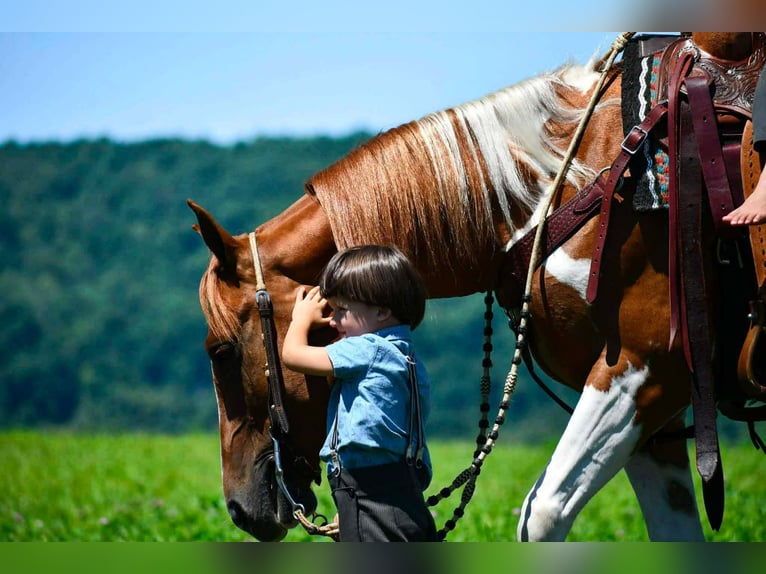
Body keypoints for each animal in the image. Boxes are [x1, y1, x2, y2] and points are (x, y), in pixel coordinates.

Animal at [188, 33, 763, 541]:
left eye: (221, 352)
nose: (239, 509)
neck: (574, 186)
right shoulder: (656, 411)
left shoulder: (644, 368)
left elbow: (543, 512)